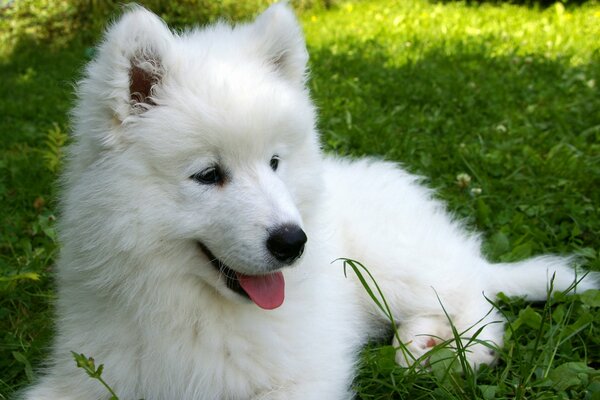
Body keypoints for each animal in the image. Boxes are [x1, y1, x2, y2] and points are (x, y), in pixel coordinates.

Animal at [21, 3, 596, 400]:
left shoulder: (300, 375)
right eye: (208, 175)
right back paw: (420, 343)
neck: (189, 304)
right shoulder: (88, 373)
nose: (293, 243)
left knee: (477, 301)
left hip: (393, 263)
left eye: (275, 162)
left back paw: (445, 353)